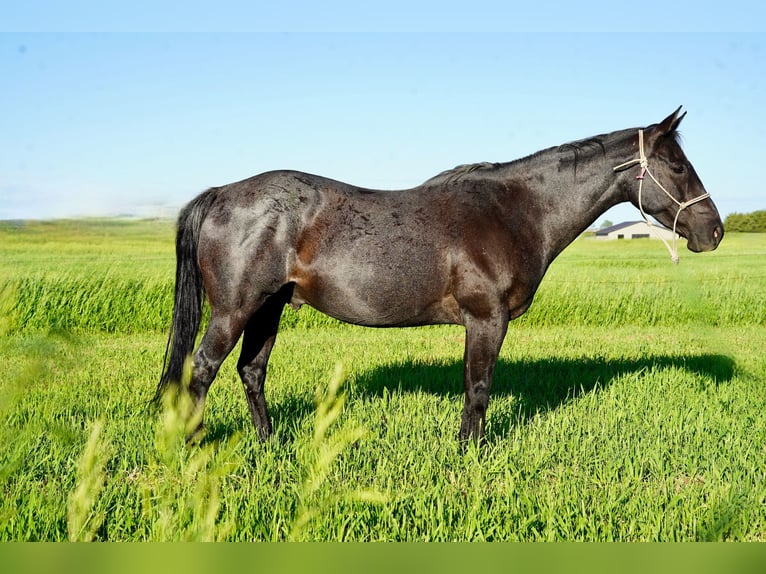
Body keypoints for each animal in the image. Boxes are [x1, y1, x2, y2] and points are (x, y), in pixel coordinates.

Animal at [158, 110, 728, 448]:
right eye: (678, 166)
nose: (715, 230)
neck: (515, 211)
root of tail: (221, 193)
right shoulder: (486, 319)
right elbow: (478, 388)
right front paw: (470, 453)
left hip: (270, 307)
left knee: (250, 372)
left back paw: (270, 444)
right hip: (234, 310)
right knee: (201, 371)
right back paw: (195, 448)